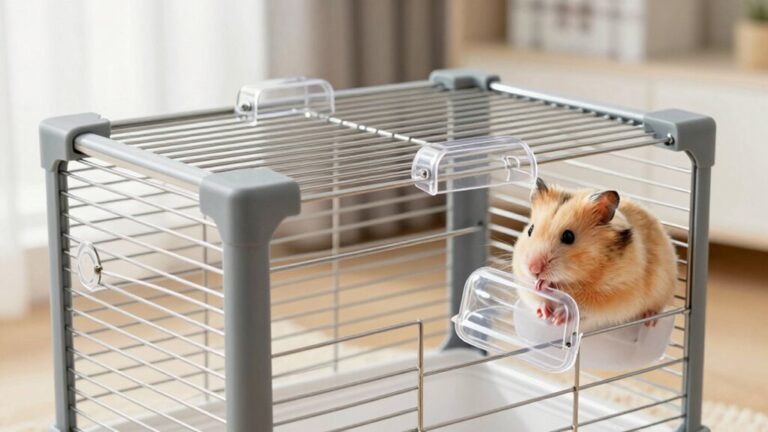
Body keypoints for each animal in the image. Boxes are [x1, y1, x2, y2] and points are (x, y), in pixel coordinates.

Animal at [511, 178, 677, 332]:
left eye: (568, 237)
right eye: (530, 230)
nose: (533, 269)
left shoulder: (611, 293)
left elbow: (581, 305)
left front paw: (558, 318)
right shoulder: (525, 283)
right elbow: (538, 297)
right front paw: (544, 312)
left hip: (663, 289)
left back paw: (650, 320)